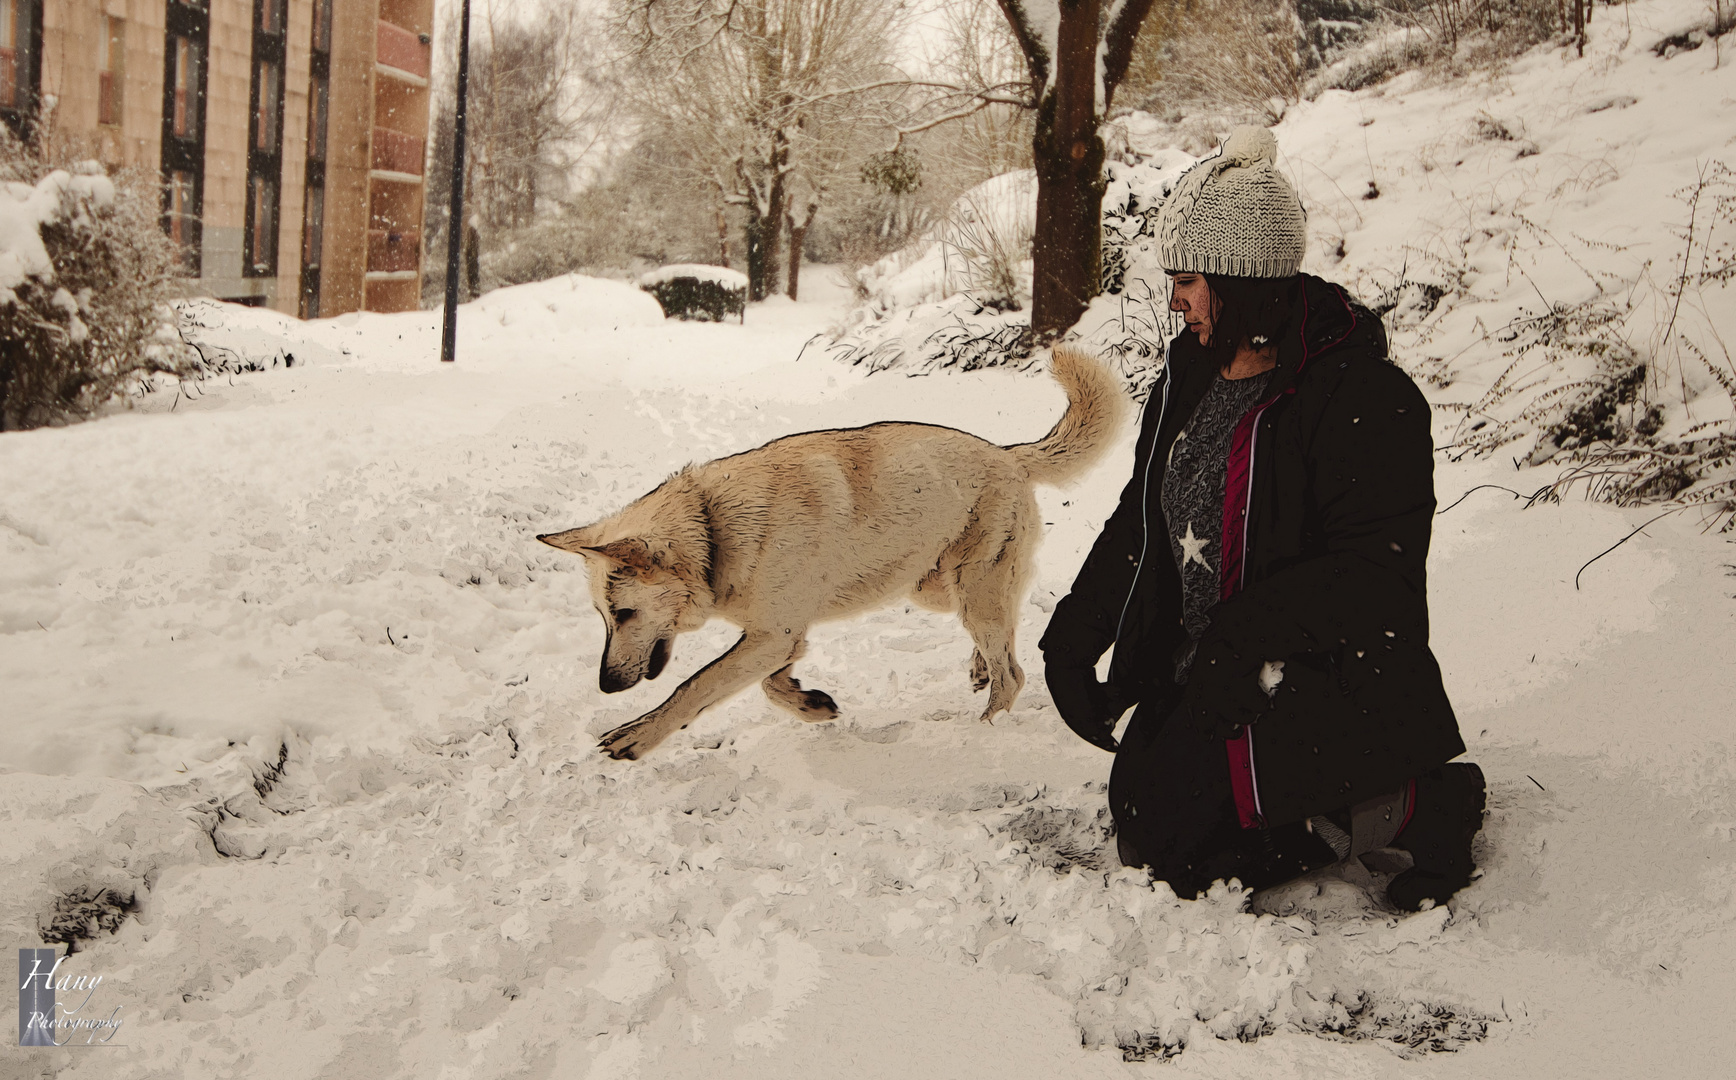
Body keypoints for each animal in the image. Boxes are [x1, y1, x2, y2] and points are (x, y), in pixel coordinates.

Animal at [538, 347, 1124, 760]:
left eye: (624, 614)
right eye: (603, 617)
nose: (605, 686)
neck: (714, 531)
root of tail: (1009, 454)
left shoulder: (772, 635)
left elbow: (693, 687)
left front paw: (635, 737)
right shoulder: (780, 636)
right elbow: (772, 686)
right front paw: (810, 704)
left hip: (971, 590)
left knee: (1013, 675)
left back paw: (982, 732)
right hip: (941, 589)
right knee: (1006, 636)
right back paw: (979, 669)